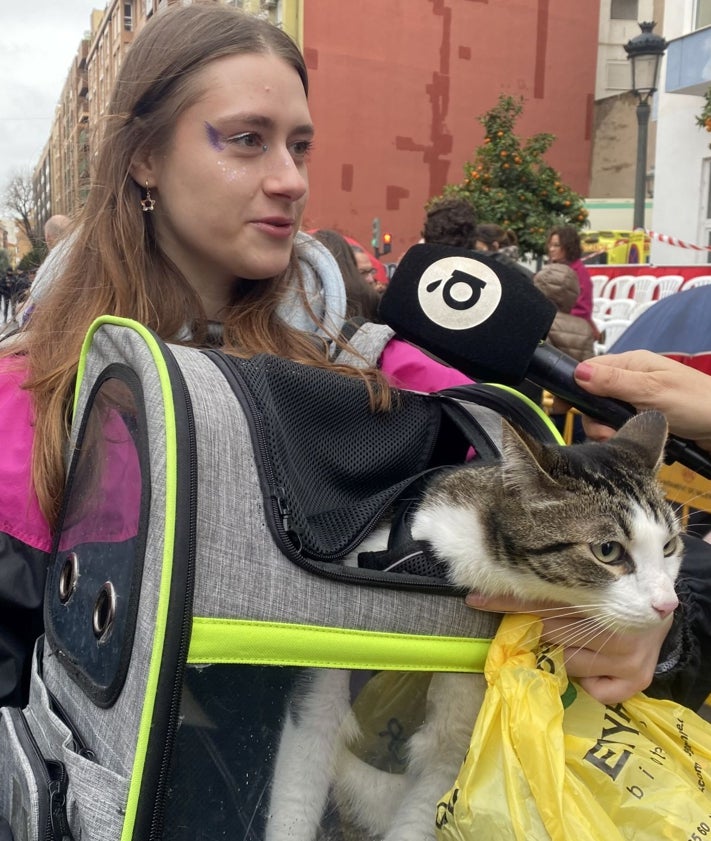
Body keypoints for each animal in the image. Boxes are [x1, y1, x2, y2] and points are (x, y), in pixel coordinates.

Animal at [268, 410, 684, 836]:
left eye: (670, 547)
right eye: (607, 550)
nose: (669, 604)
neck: (456, 563)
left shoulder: (455, 743)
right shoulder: (318, 698)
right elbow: (298, 785)